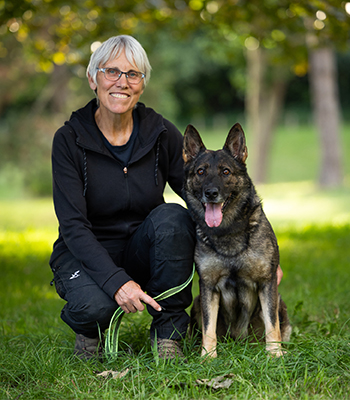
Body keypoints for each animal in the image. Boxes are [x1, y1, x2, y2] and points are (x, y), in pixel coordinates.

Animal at [182, 123, 292, 358]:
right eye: (201, 172)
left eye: (226, 172)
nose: (211, 193)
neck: (228, 231)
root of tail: (239, 342)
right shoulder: (208, 287)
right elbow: (208, 327)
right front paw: (207, 357)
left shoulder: (267, 283)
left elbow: (272, 324)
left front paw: (275, 355)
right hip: (197, 302)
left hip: (279, 300)